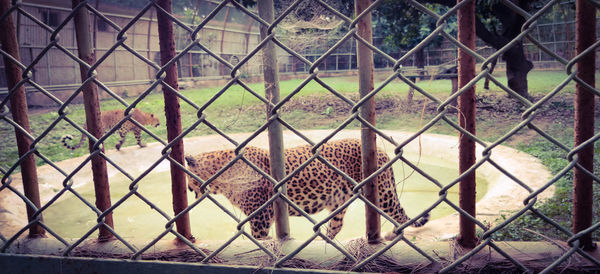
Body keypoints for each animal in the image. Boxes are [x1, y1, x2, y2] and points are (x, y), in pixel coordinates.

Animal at [185, 139, 428, 240]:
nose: (187, 189)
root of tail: (382, 152)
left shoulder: (261, 216)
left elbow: (260, 239)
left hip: (383, 193)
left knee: (399, 213)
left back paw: (396, 232)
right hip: (339, 202)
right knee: (336, 226)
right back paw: (324, 242)